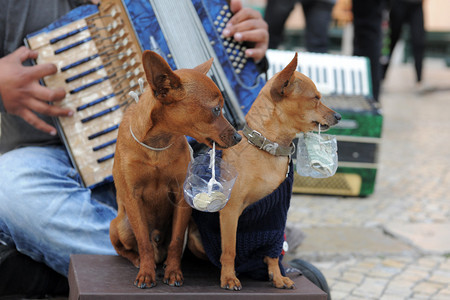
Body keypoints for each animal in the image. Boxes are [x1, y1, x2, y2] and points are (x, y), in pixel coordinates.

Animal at [110, 49, 241, 288]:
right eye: (216, 109)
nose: (238, 136)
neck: (157, 146)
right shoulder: (132, 198)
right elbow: (143, 241)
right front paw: (146, 273)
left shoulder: (181, 197)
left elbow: (176, 241)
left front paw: (173, 272)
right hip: (120, 226)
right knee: (128, 249)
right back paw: (139, 261)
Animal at [189, 52, 342, 290]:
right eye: (316, 98)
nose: (339, 116)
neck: (267, 150)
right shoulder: (230, 212)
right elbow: (229, 249)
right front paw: (229, 277)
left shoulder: (276, 216)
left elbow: (273, 253)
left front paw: (278, 277)